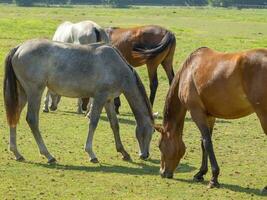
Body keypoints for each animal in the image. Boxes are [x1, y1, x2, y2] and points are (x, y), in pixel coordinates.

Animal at [3, 38, 155, 163]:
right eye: (152, 131)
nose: (145, 155)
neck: (116, 66)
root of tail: (19, 48)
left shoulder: (108, 100)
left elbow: (114, 124)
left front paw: (123, 152)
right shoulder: (100, 98)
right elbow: (93, 123)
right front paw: (91, 153)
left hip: (23, 93)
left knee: (14, 116)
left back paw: (17, 153)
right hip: (35, 92)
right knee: (32, 120)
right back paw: (48, 155)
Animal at [155, 47, 267, 189]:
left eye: (160, 146)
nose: (162, 172)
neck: (188, 71)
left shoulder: (196, 113)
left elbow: (207, 142)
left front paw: (214, 178)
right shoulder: (209, 116)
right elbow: (203, 142)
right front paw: (200, 173)